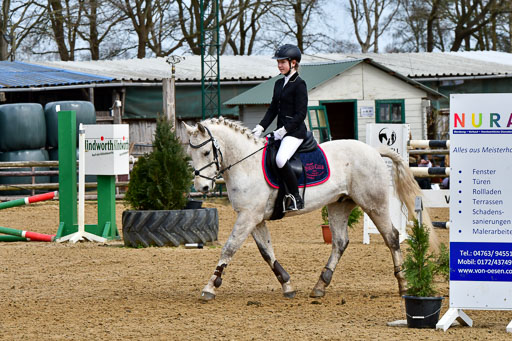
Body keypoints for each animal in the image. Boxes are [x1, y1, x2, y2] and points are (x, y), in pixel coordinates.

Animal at [184, 116, 436, 300]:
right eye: (190, 155)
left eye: (205, 152)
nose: (202, 187)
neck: (247, 163)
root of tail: (373, 150)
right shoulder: (254, 218)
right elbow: (267, 252)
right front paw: (287, 285)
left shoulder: (249, 216)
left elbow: (229, 248)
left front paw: (210, 287)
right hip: (339, 205)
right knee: (340, 242)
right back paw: (320, 285)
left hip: (374, 203)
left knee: (391, 237)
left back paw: (404, 285)